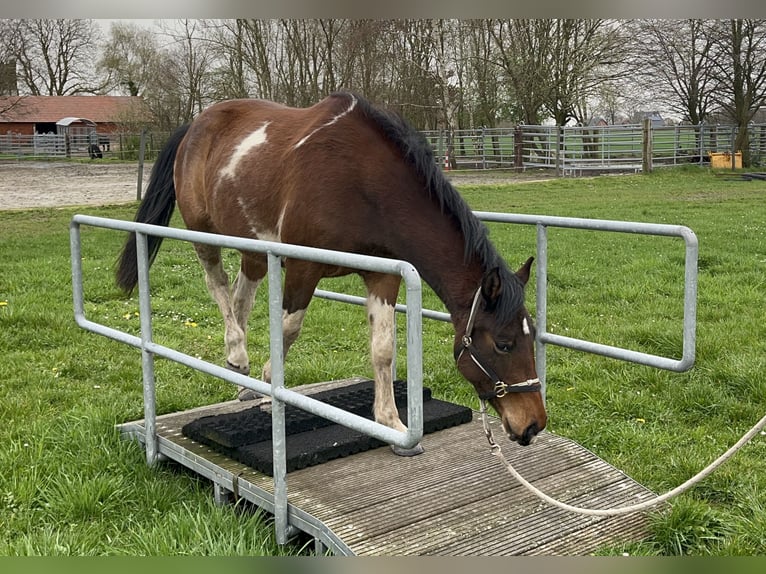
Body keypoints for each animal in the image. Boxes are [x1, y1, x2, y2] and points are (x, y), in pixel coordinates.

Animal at [114, 92, 548, 456]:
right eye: (505, 344)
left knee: (241, 298)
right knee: (218, 287)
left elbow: (383, 349)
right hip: (203, 235)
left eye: (531, 336)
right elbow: (288, 331)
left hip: (253, 250)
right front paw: (273, 384)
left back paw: (241, 379)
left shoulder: (384, 276)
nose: (533, 424)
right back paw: (237, 354)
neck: (361, 181)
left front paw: (391, 424)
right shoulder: (302, 268)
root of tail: (195, 125)